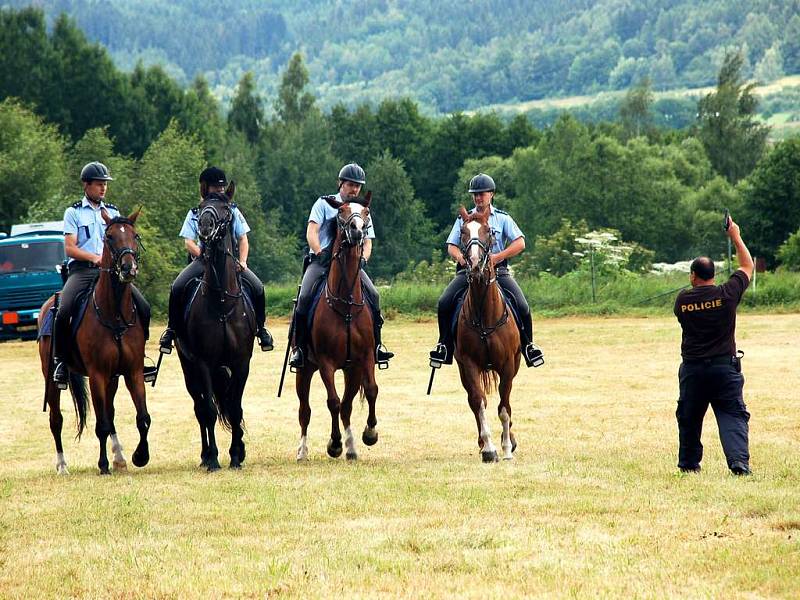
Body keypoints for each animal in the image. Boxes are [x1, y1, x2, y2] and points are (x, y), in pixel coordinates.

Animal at [37, 209, 151, 476]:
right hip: (51, 377)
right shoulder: (97, 374)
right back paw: (62, 465)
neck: (115, 314)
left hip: (112, 379)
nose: (128, 268)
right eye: (109, 237)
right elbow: (101, 425)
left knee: (110, 413)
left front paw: (140, 456)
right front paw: (103, 465)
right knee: (56, 420)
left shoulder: (132, 372)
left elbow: (142, 418)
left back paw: (119, 456)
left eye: (135, 235)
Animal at [176, 188, 256, 474]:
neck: (221, 302)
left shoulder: (241, 363)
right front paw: (213, 459)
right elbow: (210, 411)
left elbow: (235, 408)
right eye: (200, 209)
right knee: (200, 407)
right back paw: (204, 455)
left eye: (226, 210)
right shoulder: (203, 363)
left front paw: (236, 455)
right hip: (188, 368)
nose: (205, 228)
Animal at [296, 195, 380, 462]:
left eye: (366, 212)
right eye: (341, 212)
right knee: (305, 410)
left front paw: (369, 434)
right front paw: (334, 444)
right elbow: (332, 401)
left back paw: (351, 447)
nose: (357, 230)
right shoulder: (326, 363)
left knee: (347, 406)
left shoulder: (363, 359)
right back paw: (302, 451)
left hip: (351, 371)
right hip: (305, 370)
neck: (345, 304)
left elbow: (370, 391)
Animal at [454, 204, 520, 462]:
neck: (484, 315)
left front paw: (507, 448)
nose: (473, 264)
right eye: (462, 232)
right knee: (473, 401)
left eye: (489, 232)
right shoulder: (469, 363)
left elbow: (504, 407)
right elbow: (478, 402)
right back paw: (483, 443)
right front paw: (490, 448)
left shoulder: (508, 366)